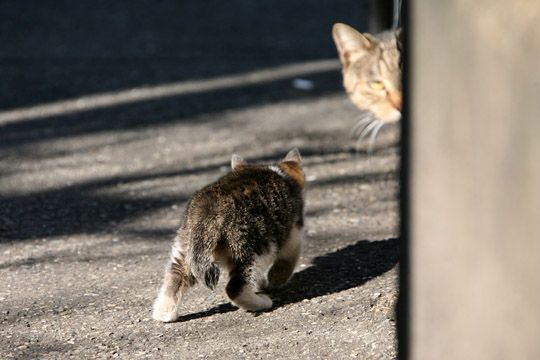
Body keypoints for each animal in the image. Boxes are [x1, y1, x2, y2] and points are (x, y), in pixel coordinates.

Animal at [153, 148, 304, 322]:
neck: (280, 174)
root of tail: (209, 210)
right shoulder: (294, 232)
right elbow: (288, 259)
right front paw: (276, 279)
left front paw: (261, 282)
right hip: (251, 248)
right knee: (234, 288)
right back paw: (262, 303)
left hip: (185, 248)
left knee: (175, 276)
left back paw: (163, 313)